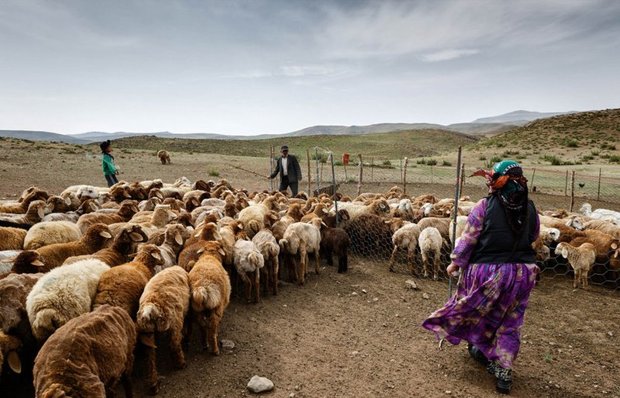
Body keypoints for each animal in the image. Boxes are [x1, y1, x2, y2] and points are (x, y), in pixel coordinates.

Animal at [137, 266, 190, 394]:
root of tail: (150, 308)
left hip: (148, 332)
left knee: (150, 357)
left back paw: (153, 385)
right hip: (174, 322)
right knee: (174, 344)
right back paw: (181, 364)